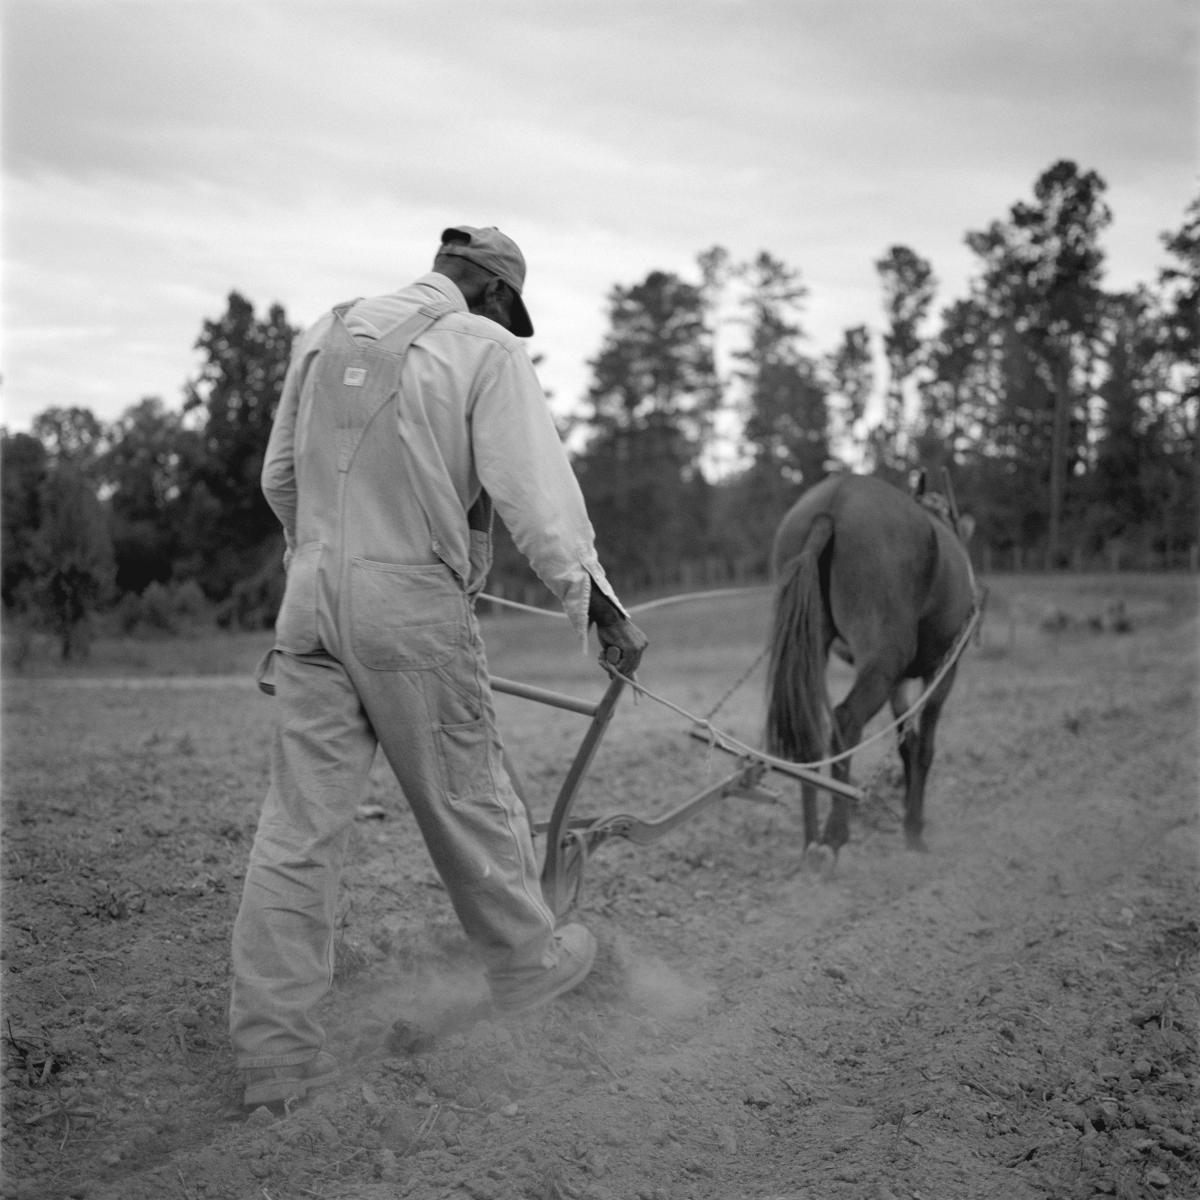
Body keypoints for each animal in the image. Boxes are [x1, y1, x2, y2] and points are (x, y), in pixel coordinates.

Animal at [768, 470, 974, 864]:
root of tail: (832, 505)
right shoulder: (944, 670)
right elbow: (924, 749)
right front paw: (914, 829)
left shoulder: (898, 682)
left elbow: (907, 744)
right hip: (883, 660)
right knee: (847, 719)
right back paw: (834, 836)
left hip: (814, 645)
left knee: (813, 734)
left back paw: (811, 842)